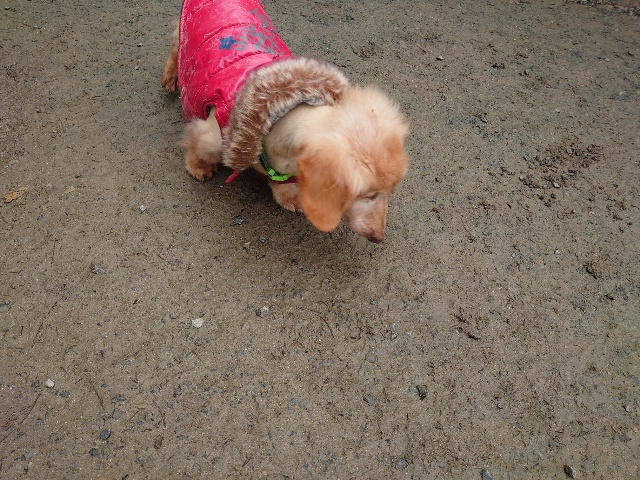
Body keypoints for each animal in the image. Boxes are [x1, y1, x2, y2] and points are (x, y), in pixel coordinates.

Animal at [161, 0, 409, 242]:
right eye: (368, 194)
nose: (378, 237)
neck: (277, 112)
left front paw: (288, 195)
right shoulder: (210, 133)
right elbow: (199, 148)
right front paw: (199, 167)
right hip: (183, 33)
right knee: (175, 47)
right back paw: (170, 77)